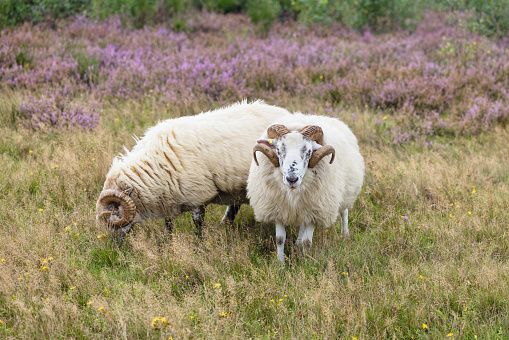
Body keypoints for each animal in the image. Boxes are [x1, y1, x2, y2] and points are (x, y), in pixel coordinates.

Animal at [96, 100, 292, 239]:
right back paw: (224, 226)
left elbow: (197, 222)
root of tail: (286, 113)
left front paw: (200, 244)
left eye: (113, 212)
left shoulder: (198, 193)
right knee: (234, 206)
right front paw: (168, 242)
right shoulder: (169, 197)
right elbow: (168, 223)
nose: (114, 244)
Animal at [245, 113, 362, 262]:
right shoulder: (278, 208)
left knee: (344, 212)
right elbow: (280, 239)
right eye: (278, 150)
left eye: (309, 152)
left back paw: (345, 235)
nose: (292, 179)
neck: (293, 193)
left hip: (344, 191)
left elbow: (307, 241)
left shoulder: (317, 210)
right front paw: (280, 263)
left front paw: (306, 262)